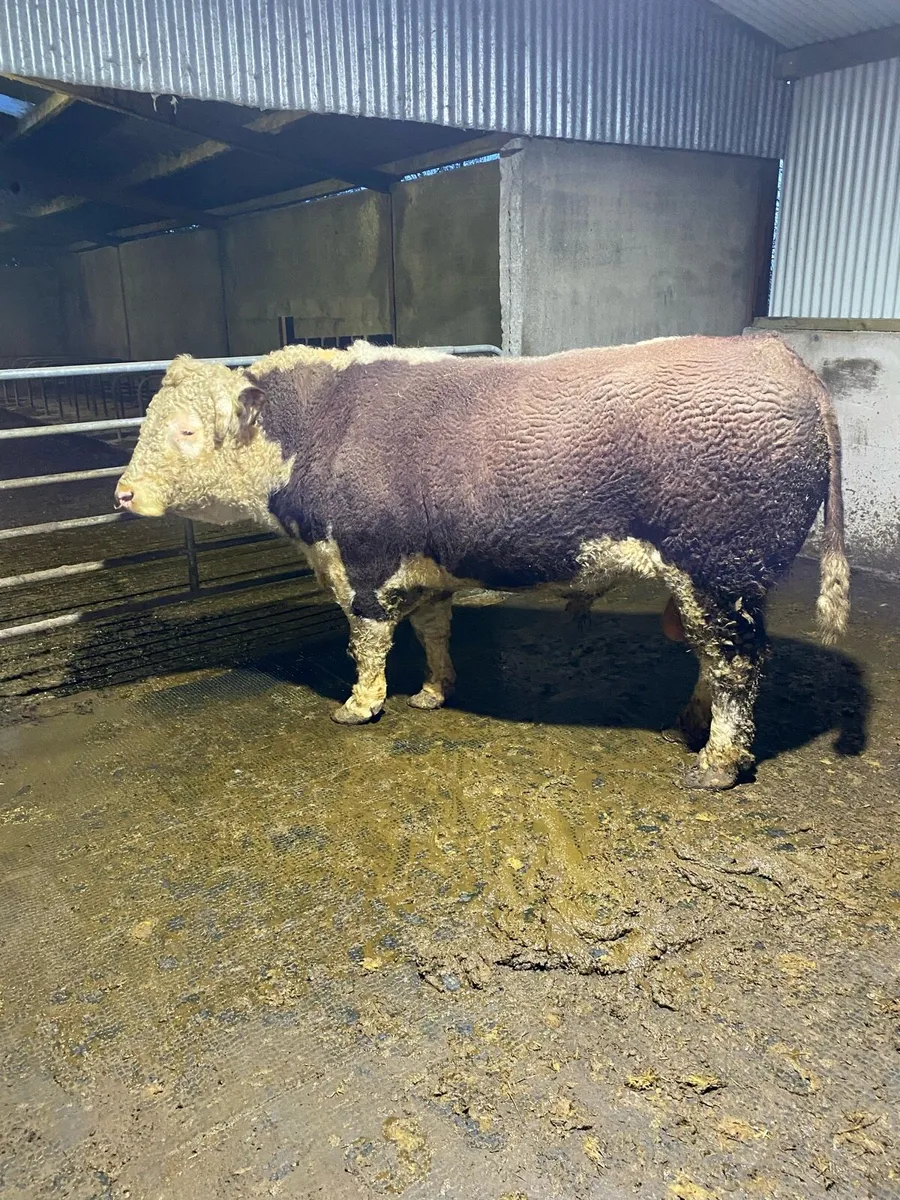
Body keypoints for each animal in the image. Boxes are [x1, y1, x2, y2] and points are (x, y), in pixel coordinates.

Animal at [114, 334, 849, 791]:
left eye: (186, 431)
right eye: (145, 423)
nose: (122, 492)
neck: (319, 428)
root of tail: (779, 357)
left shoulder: (364, 562)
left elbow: (368, 641)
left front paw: (360, 704)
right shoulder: (427, 567)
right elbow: (433, 629)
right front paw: (434, 691)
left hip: (721, 568)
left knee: (737, 663)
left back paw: (719, 761)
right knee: (712, 654)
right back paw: (693, 723)